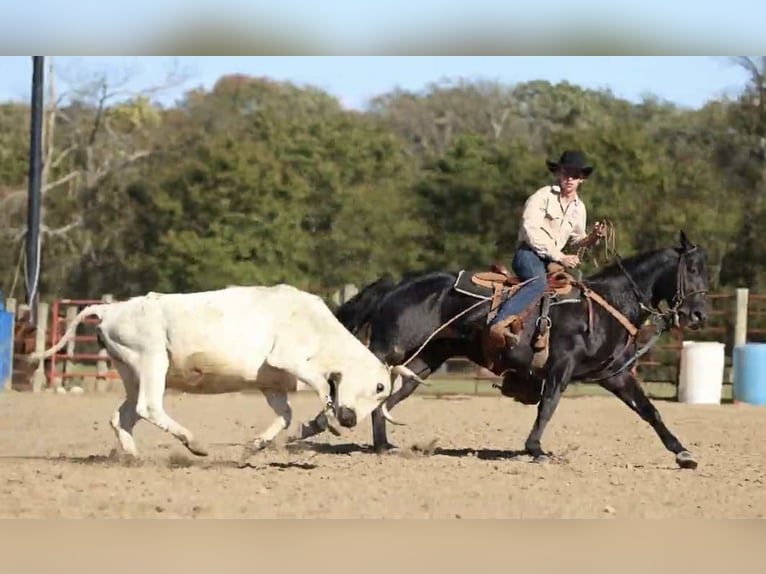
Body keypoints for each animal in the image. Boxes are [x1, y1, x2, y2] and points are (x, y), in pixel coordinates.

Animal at [296, 231, 710, 470]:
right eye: (690, 270)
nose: (699, 314)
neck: (609, 303)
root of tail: (397, 285)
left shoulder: (618, 374)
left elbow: (650, 411)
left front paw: (683, 453)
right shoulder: (561, 366)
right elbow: (548, 407)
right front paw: (536, 449)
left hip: (427, 359)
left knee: (385, 398)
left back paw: (383, 445)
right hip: (393, 349)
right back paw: (318, 425)